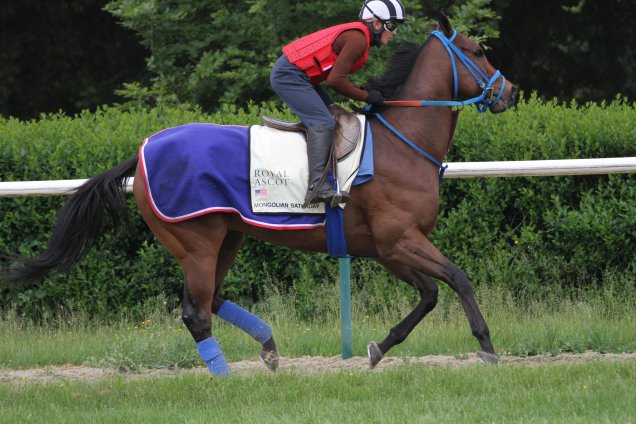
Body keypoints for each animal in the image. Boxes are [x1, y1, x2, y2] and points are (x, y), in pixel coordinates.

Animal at [1, 13, 516, 376]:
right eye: (478, 50)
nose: (509, 92)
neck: (404, 141)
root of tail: (144, 150)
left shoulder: (386, 248)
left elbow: (429, 294)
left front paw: (377, 348)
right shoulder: (399, 239)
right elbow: (458, 280)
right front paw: (487, 347)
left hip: (228, 236)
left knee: (212, 300)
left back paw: (268, 346)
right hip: (195, 242)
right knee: (196, 311)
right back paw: (226, 377)